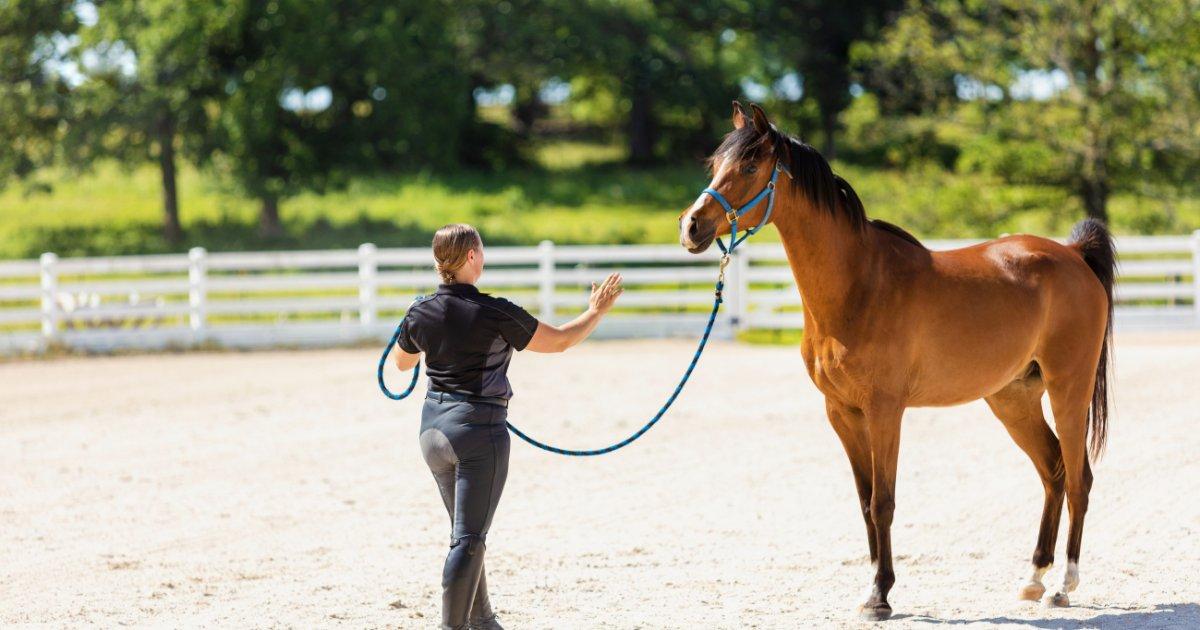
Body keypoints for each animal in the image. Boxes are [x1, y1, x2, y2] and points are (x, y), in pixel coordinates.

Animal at [678, 102, 1114, 621]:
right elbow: (864, 501)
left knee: (1081, 479)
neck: (858, 286)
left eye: (748, 166)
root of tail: (1073, 255)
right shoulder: (841, 413)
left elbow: (882, 501)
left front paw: (880, 596)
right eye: (714, 164)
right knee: (1053, 471)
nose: (691, 226)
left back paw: (1063, 587)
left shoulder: (885, 410)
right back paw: (1032, 578)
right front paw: (873, 586)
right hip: (1013, 399)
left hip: (1069, 390)